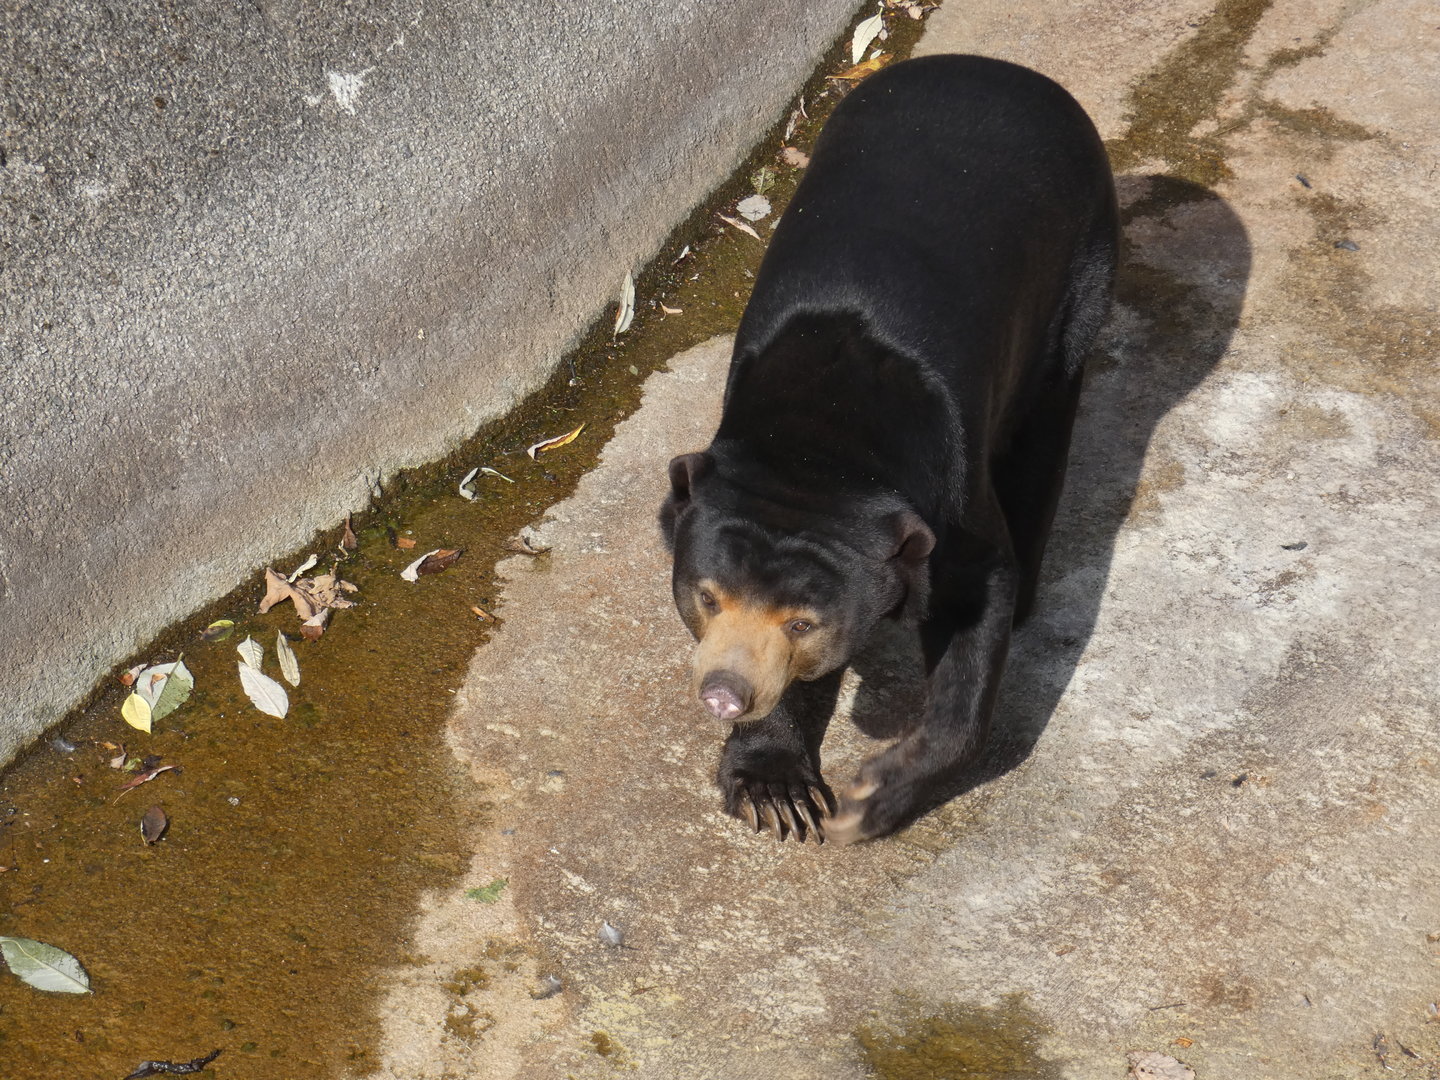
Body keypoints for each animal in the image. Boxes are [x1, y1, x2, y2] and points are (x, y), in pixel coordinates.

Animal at [659, 54, 1118, 844]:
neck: (818, 447)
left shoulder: (950, 498)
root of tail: (1000, 69)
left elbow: (978, 599)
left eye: (803, 622)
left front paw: (871, 796)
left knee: (1044, 431)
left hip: (1077, 276)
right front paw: (775, 787)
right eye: (707, 597)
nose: (723, 693)